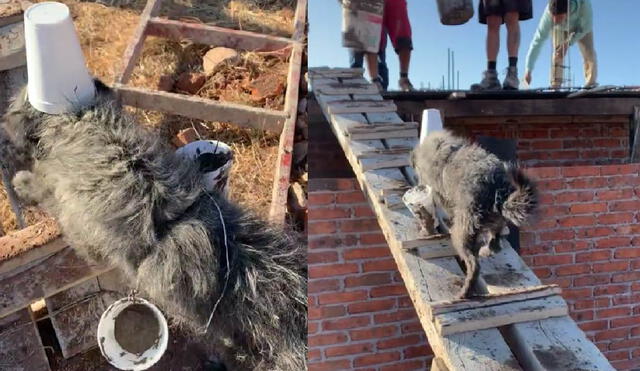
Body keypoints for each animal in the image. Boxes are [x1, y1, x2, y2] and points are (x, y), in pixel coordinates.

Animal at [410, 131, 536, 300]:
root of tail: (496, 189)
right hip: (496, 221)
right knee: (495, 241)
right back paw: (486, 250)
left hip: (462, 233)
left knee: (473, 265)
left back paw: (465, 291)